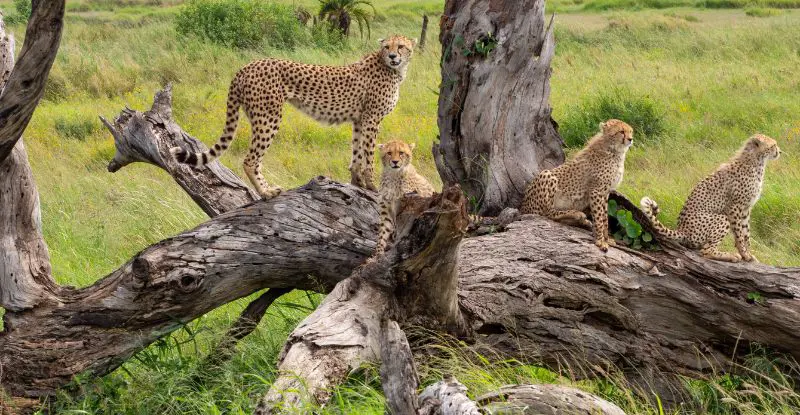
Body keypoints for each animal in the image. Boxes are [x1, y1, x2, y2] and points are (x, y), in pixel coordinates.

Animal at [170, 34, 418, 200]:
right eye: (387, 46)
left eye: (401, 46)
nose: (393, 56)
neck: (392, 68)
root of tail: (247, 65)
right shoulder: (371, 119)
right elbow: (368, 155)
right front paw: (372, 187)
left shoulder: (359, 120)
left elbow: (356, 154)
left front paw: (357, 184)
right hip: (268, 116)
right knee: (250, 160)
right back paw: (266, 192)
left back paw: (269, 189)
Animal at [520, 118, 636, 252]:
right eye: (621, 132)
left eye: (630, 131)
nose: (630, 139)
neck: (614, 150)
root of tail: (523, 207)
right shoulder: (596, 191)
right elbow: (598, 217)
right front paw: (600, 241)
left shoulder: (605, 192)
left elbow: (604, 217)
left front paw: (607, 239)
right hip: (547, 174)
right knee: (547, 212)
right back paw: (577, 214)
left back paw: (581, 220)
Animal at [636, 134, 780, 264]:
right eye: (773, 145)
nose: (780, 151)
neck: (756, 161)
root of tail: (682, 230)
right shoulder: (735, 207)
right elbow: (739, 234)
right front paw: (744, 253)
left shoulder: (746, 208)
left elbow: (746, 233)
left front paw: (749, 254)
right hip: (722, 218)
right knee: (706, 251)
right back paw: (730, 256)